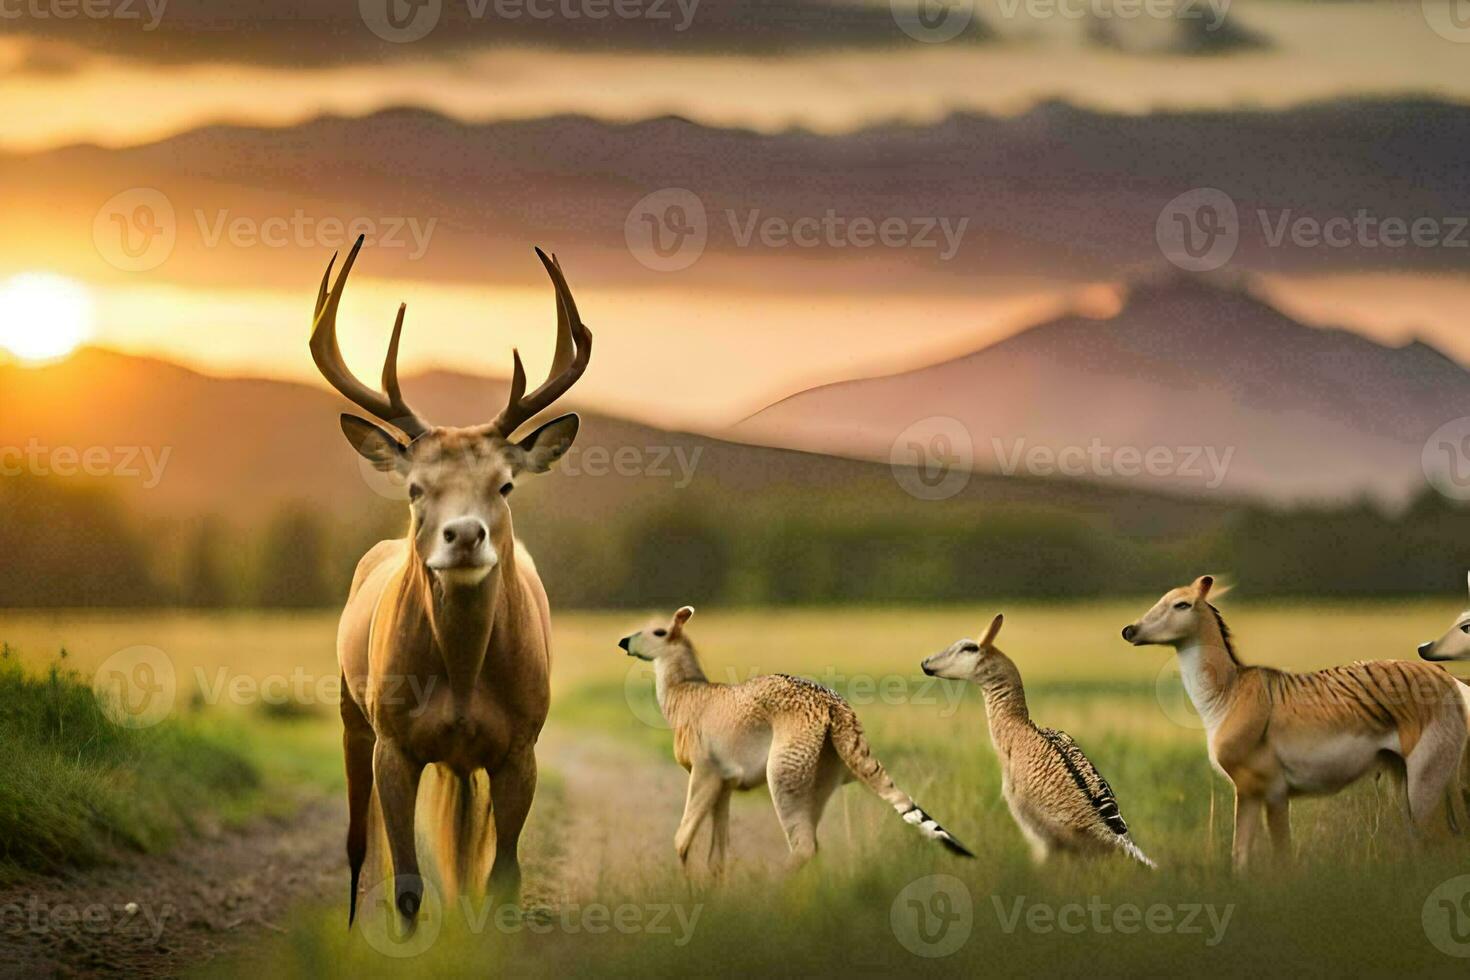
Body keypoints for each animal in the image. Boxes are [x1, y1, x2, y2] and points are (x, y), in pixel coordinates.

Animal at [313, 233, 593, 922]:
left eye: (506, 484)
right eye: (416, 487)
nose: (464, 536)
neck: (464, 680)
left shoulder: (521, 747)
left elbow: (502, 877)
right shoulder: (394, 742)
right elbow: (408, 883)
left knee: (464, 844)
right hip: (351, 712)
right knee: (359, 842)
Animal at [617, 605, 970, 875]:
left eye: (659, 632)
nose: (624, 641)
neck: (686, 689)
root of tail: (836, 706)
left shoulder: (707, 773)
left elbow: (682, 840)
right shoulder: (724, 783)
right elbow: (716, 856)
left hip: (784, 774)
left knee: (803, 846)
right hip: (818, 779)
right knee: (812, 844)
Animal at [1123, 570, 1470, 869]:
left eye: (1182, 604)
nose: (1129, 630)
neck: (1229, 695)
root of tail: (1450, 680)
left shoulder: (1274, 793)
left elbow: (1283, 858)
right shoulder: (1247, 793)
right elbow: (1240, 857)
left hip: (1427, 783)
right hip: (1406, 784)